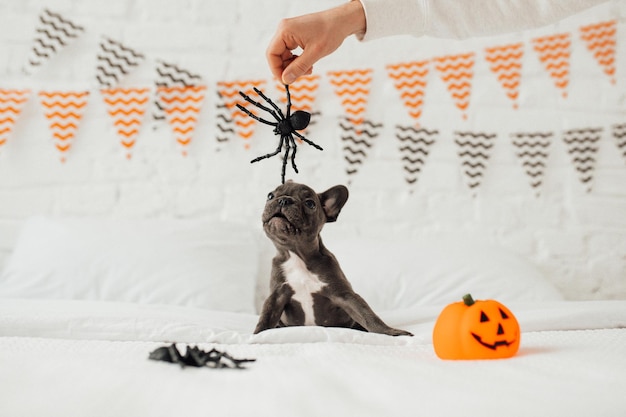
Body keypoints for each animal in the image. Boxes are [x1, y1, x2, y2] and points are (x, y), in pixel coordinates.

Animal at [254, 180, 410, 336]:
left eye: (310, 203)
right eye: (270, 195)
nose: (284, 200)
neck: (296, 255)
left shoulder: (344, 295)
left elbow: (367, 315)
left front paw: (390, 332)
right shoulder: (276, 296)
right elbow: (265, 318)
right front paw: (256, 335)